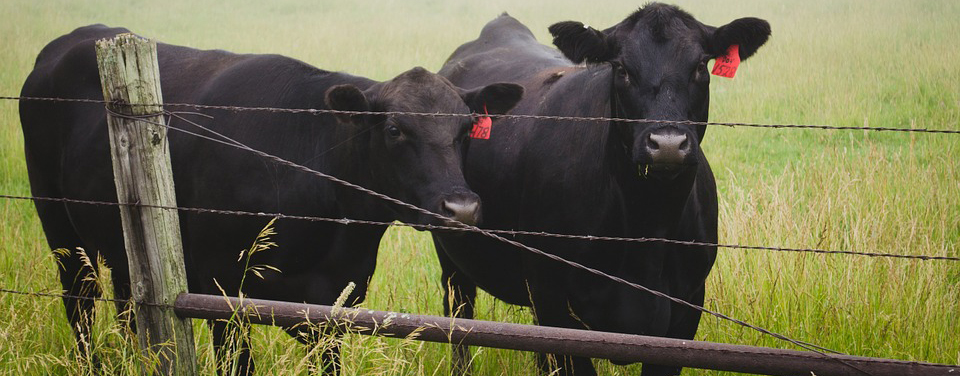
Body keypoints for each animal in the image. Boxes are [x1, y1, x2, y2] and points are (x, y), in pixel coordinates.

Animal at [18, 25, 520, 374]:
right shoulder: (220, 291)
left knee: (127, 306)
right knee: (80, 304)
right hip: (59, 229)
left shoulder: (333, 306)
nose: (461, 208)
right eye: (395, 129)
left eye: (465, 129)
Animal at [436, 3, 772, 376]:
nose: (667, 144)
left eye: (700, 66)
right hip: (453, 257)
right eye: (622, 69)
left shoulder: (687, 308)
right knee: (460, 319)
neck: (647, 228)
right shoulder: (554, 301)